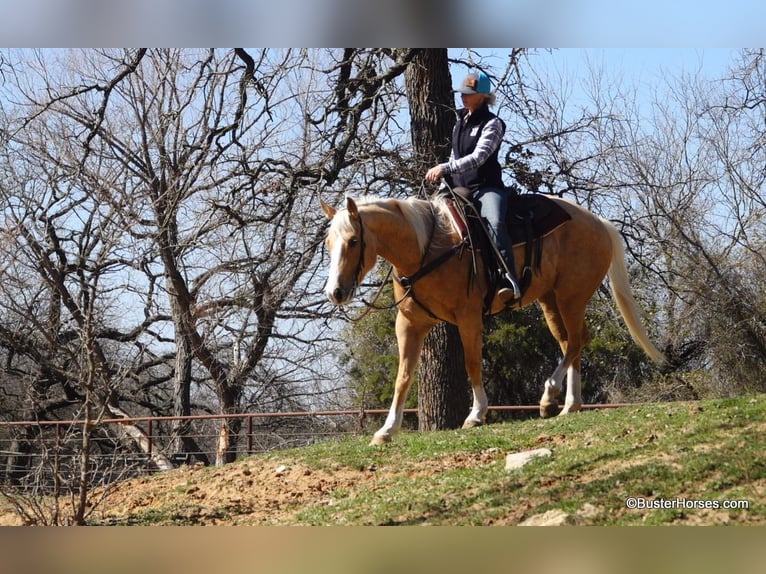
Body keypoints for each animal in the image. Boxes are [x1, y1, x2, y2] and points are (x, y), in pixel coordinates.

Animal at [320, 196, 664, 448]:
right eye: (328, 243)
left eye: (353, 241)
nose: (335, 292)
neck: (426, 249)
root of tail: (599, 223)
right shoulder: (409, 325)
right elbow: (403, 377)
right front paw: (387, 430)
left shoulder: (469, 318)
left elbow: (473, 364)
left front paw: (476, 414)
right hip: (550, 301)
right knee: (572, 342)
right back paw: (569, 404)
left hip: (571, 298)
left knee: (578, 340)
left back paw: (549, 395)